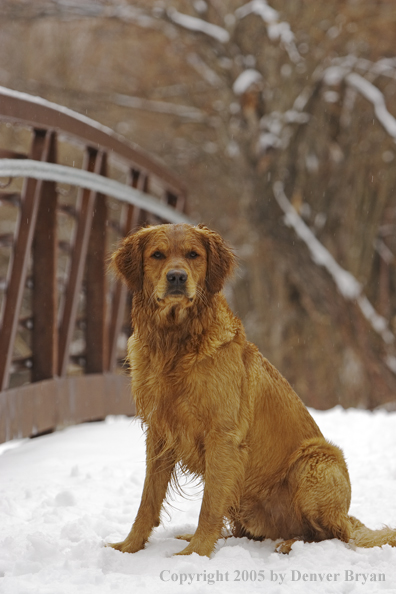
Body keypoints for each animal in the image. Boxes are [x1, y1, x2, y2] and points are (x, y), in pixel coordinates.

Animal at [108, 222, 396, 556]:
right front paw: (129, 547)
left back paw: (289, 544)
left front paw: (195, 553)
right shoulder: (159, 432)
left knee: (332, 535)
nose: (177, 277)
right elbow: (147, 500)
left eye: (193, 255)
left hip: (317, 460)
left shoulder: (223, 437)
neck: (175, 343)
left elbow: (209, 506)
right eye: (157, 255)